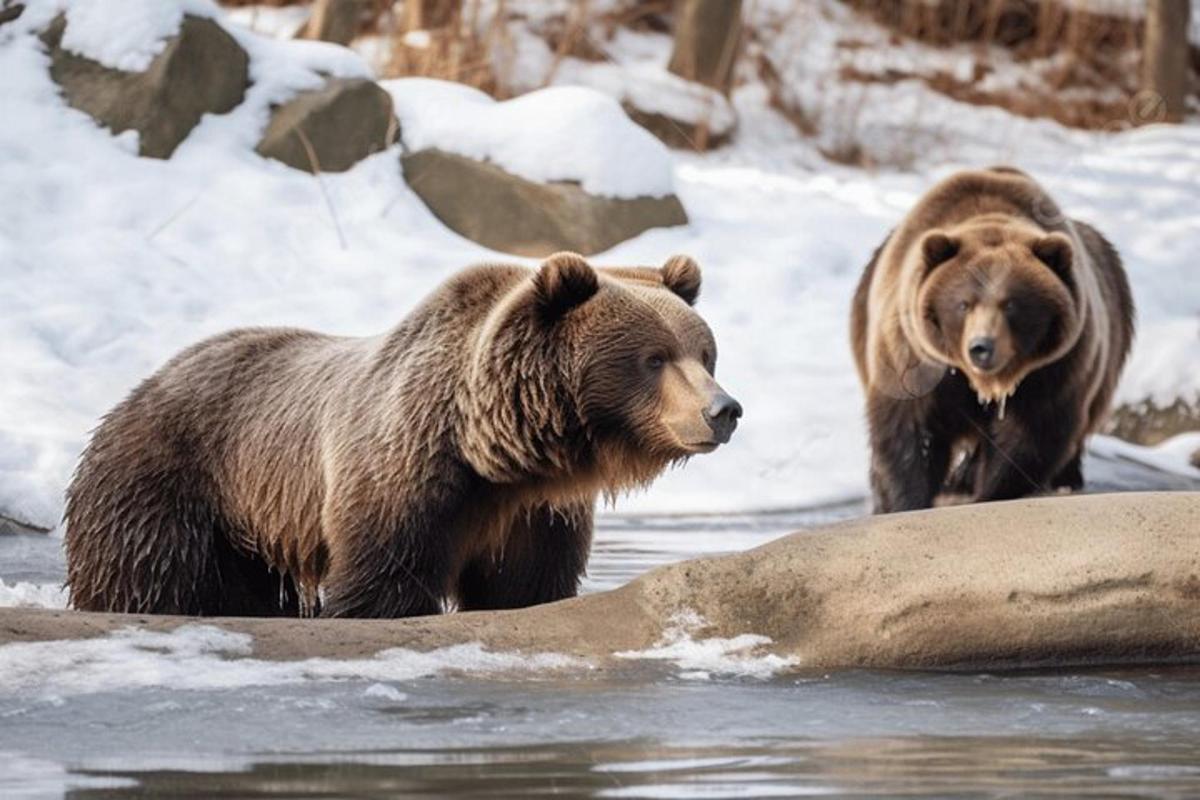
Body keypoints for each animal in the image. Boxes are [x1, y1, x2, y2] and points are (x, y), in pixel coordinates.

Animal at [68, 253, 739, 618]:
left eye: (704, 352)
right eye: (653, 358)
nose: (723, 410)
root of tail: (146, 383)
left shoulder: (538, 513)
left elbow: (524, 586)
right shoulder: (401, 471)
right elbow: (382, 583)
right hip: (172, 483)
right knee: (144, 577)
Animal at [854, 167, 1132, 513]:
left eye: (1011, 304)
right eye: (963, 304)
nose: (981, 348)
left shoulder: (1054, 368)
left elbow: (1031, 434)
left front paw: (989, 493)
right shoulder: (913, 355)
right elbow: (910, 431)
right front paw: (907, 500)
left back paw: (1062, 479)